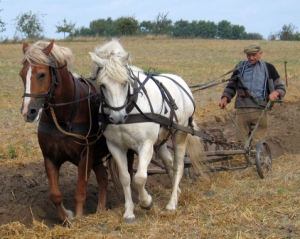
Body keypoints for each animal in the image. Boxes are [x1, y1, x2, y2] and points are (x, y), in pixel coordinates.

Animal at [19, 39, 134, 222]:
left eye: (42, 74)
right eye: (22, 74)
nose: (27, 112)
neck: (64, 116)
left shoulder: (85, 156)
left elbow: (80, 191)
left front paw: (79, 218)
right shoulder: (50, 158)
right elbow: (55, 195)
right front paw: (67, 217)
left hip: (126, 151)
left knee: (128, 175)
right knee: (103, 177)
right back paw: (100, 210)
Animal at [89, 38, 206, 222]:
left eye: (125, 83)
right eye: (103, 85)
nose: (117, 117)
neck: (130, 110)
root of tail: (181, 83)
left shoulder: (146, 145)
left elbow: (140, 178)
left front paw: (147, 202)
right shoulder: (115, 147)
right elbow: (125, 178)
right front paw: (129, 212)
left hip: (180, 133)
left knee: (178, 166)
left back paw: (171, 203)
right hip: (161, 139)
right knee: (169, 163)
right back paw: (176, 193)